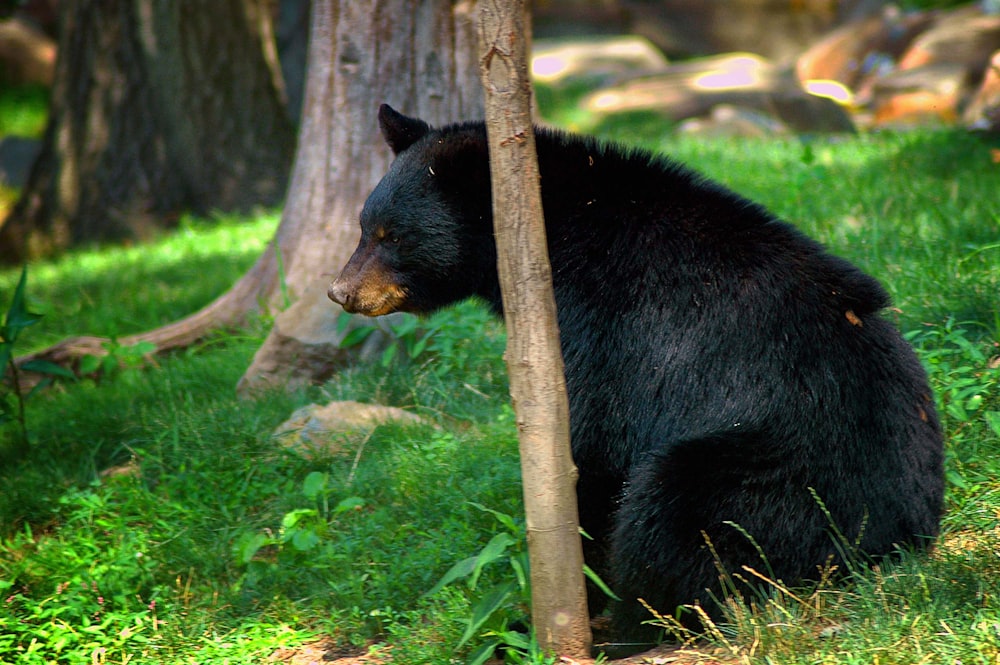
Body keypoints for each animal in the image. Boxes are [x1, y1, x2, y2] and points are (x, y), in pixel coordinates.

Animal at [330, 106, 944, 640]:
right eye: (363, 225)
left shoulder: (604, 328)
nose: (341, 292)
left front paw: (566, 600)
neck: (547, 238)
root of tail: (891, 545)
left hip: (778, 484)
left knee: (672, 520)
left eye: (392, 235)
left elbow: (592, 452)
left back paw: (626, 631)